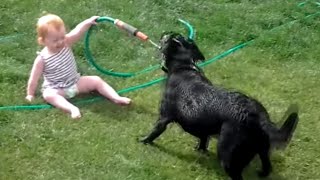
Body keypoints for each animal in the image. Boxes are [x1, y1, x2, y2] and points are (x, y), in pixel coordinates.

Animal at [141, 32, 300, 180]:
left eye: (168, 37)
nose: (164, 33)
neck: (184, 67)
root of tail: (258, 116)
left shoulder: (163, 118)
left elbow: (153, 132)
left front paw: (143, 141)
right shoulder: (203, 128)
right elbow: (203, 139)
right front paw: (200, 150)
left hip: (227, 155)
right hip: (262, 149)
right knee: (267, 166)